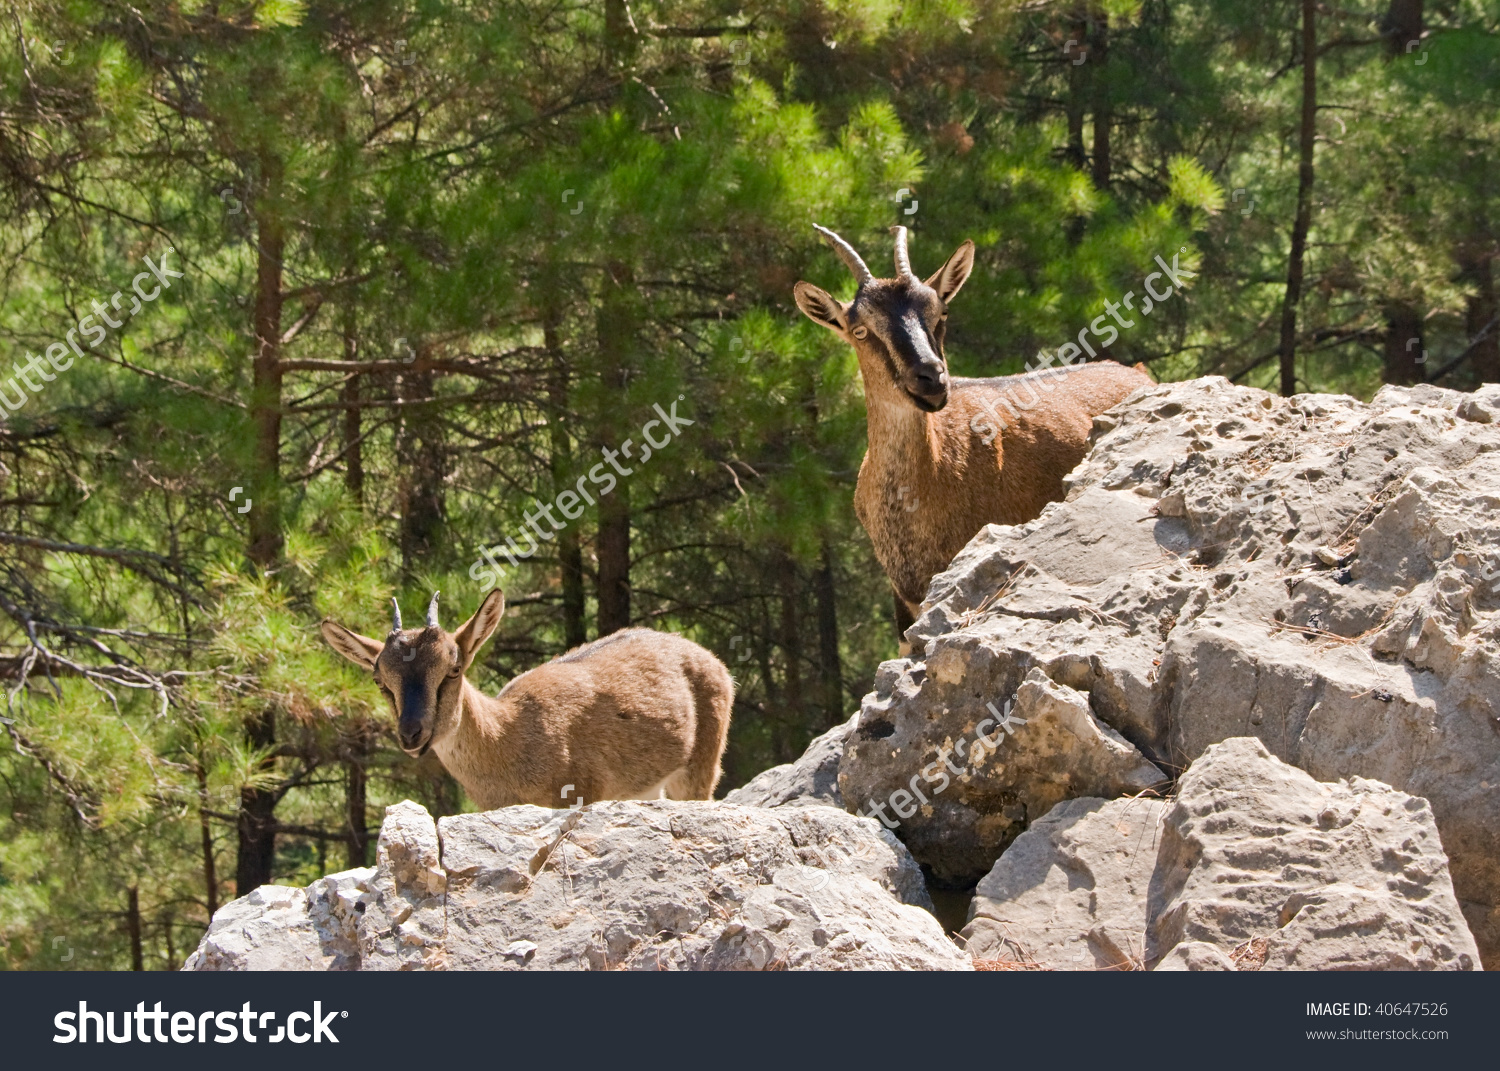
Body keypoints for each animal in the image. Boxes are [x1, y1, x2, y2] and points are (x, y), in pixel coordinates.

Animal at [321, 588, 732, 804]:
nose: (411, 733)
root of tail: (714, 662)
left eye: (453, 669)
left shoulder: (578, 794)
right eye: (380, 680)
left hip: (700, 769)